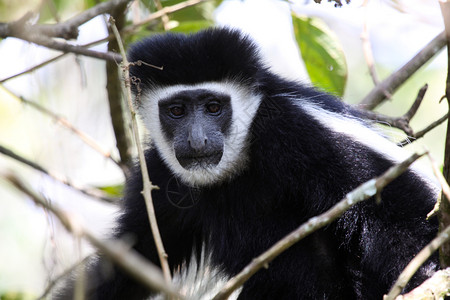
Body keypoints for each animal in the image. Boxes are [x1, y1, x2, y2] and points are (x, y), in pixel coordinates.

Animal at [59, 28, 440, 300]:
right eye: (177, 110)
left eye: (214, 107)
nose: (197, 140)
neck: (238, 164)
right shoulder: (159, 179)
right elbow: (132, 262)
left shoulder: (298, 130)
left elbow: (395, 209)